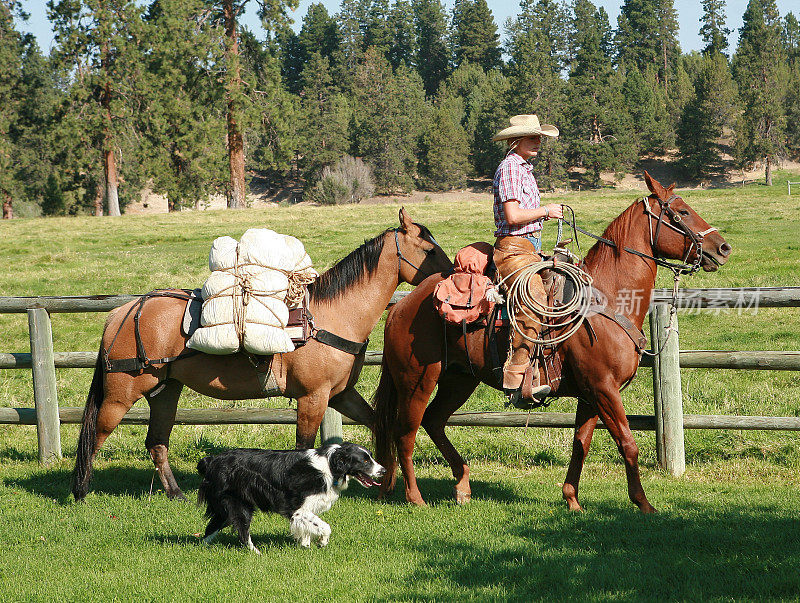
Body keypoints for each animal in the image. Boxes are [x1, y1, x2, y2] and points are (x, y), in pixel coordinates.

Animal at [72, 210, 454, 502]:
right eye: (428, 248)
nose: (451, 274)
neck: (332, 315)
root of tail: (122, 312)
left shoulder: (341, 395)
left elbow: (379, 426)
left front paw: (384, 480)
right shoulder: (313, 397)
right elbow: (304, 445)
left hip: (165, 391)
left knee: (156, 442)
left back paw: (176, 494)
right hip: (121, 395)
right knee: (95, 435)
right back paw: (80, 491)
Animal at [376, 175, 732, 516]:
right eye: (682, 211)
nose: (723, 248)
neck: (606, 300)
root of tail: (402, 305)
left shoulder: (591, 394)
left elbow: (581, 443)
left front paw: (572, 499)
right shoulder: (604, 389)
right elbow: (627, 443)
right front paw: (643, 504)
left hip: (459, 379)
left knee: (434, 421)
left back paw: (462, 485)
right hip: (417, 380)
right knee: (405, 432)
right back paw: (415, 497)